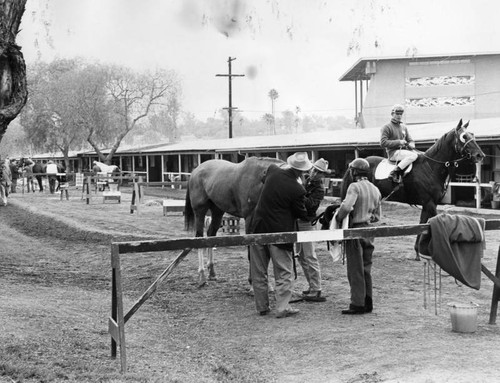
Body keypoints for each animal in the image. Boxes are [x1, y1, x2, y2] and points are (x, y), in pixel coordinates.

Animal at [185, 158, 286, 286]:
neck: (259, 181)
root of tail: (195, 171)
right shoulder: (250, 219)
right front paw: (252, 282)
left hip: (217, 211)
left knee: (210, 235)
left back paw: (212, 272)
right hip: (200, 211)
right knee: (199, 238)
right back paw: (202, 276)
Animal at [342, 119, 482, 260]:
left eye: (472, 134)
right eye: (464, 136)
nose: (480, 155)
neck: (430, 167)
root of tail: (355, 163)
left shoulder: (428, 204)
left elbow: (422, 224)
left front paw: (417, 251)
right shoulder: (430, 204)